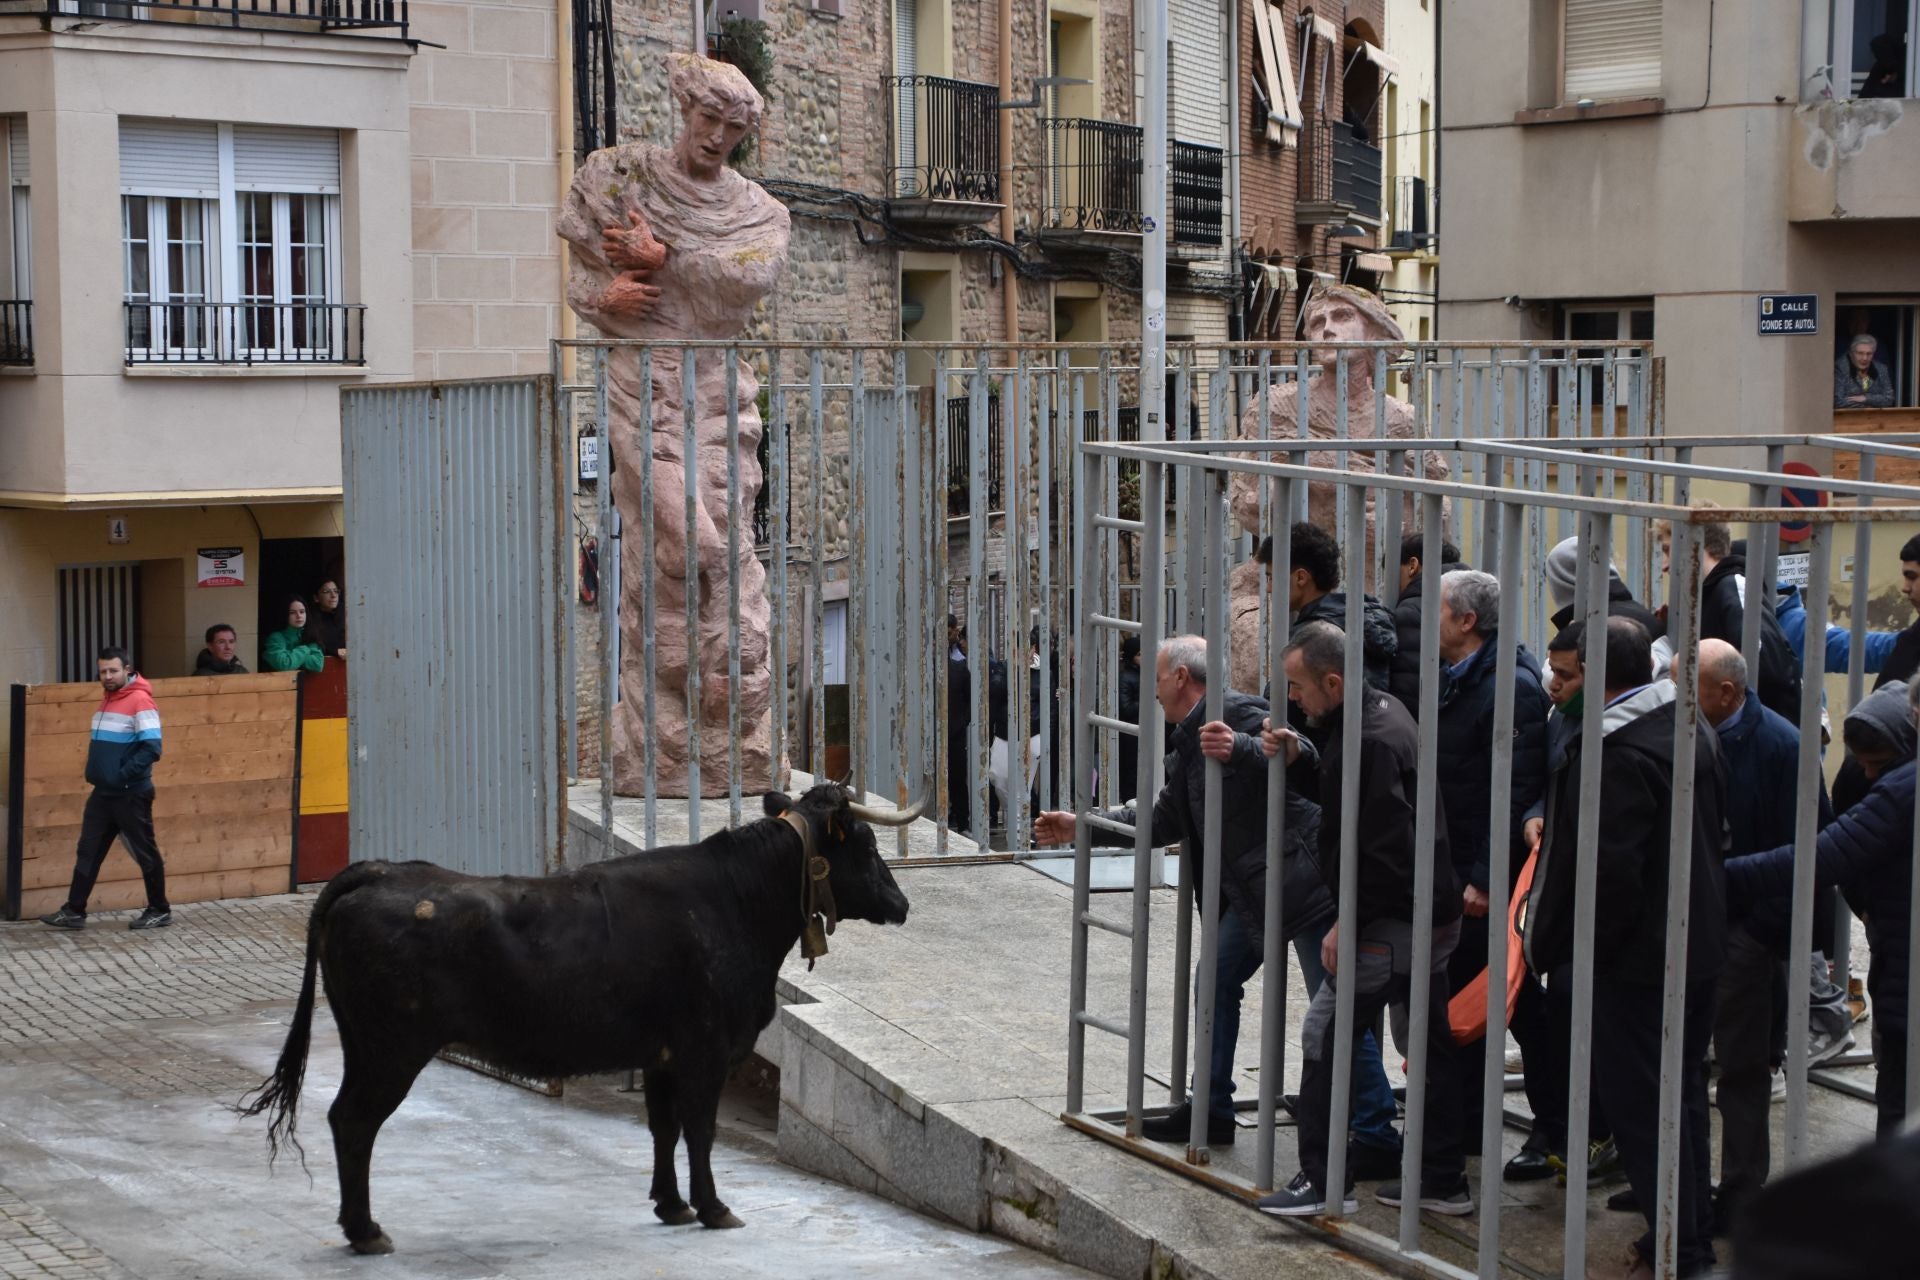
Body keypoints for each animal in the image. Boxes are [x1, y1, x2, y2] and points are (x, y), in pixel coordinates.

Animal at [240, 786, 913, 1258]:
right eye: (868, 848)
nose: (903, 904)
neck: (734, 902)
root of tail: (379, 870)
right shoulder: (705, 1051)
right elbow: (699, 1131)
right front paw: (714, 1207)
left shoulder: (663, 1055)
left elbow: (663, 1129)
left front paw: (671, 1205)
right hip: (391, 1051)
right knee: (354, 1122)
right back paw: (365, 1231)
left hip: (364, 1044)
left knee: (343, 1119)